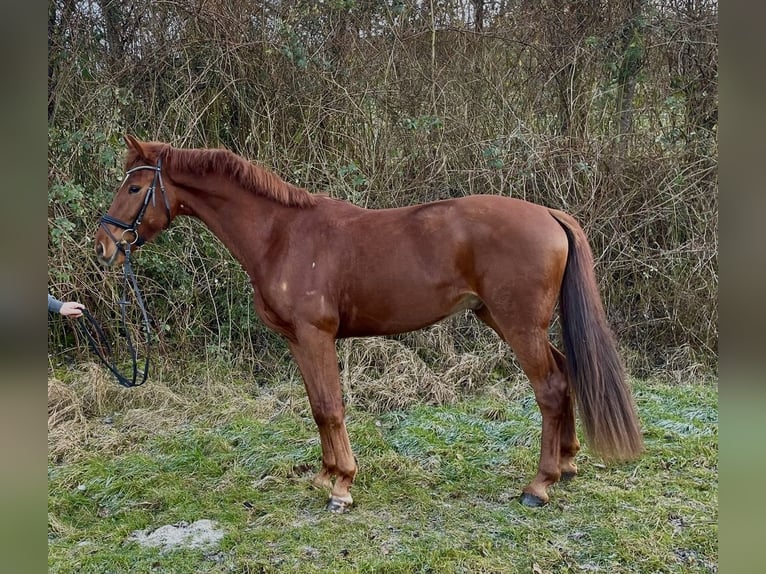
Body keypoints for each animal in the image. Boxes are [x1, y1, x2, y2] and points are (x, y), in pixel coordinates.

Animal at [97, 137, 648, 516]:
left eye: (134, 187)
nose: (105, 245)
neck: (282, 236)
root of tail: (550, 215)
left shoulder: (315, 336)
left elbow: (331, 408)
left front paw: (342, 487)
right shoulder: (299, 342)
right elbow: (318, 409)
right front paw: (325, 478)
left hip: (518, 324)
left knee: (551, 387)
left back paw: (540, 485)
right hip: (506, 319)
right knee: (565, 372)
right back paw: (568, 465)